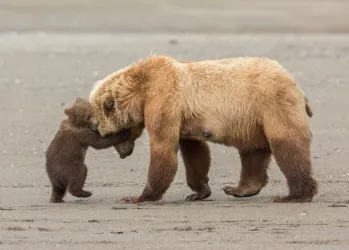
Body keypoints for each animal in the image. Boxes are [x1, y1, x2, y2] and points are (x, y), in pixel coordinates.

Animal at [88, 54, 316, 203]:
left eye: (110, 134)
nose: (123, 154)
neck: (141, 92)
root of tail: (295, 83)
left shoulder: (164, 100)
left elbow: (163, 147)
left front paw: (138, 197)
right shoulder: (184, 118)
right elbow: (195, 152)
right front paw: (198, 192)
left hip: (271, 103)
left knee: (286, 144)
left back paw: (295, 195)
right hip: (252, 120)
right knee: (253, 151)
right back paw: (239, 189)